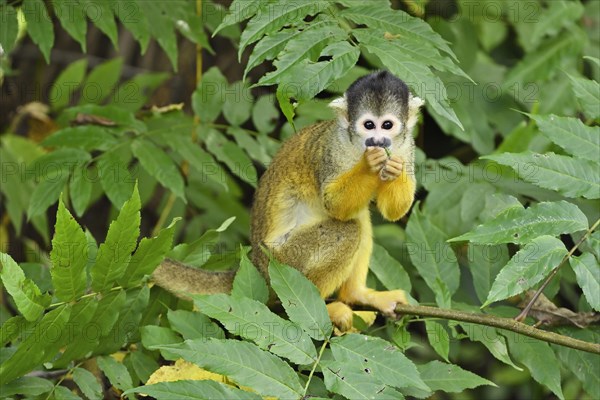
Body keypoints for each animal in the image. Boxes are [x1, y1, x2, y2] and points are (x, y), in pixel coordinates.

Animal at [152, 70, 424, 330]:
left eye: (386, 125)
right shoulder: (331, 149)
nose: (377, 141)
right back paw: (322, 308)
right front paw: (370, 164)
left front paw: (394, 169)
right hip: (284, 260)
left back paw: (356, 294)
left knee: (359, 219)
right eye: (368, 125)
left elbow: (393, 211)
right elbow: (333, 203)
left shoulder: (407, 146)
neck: (356, 147)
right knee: (349, 230)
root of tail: (256, 265)